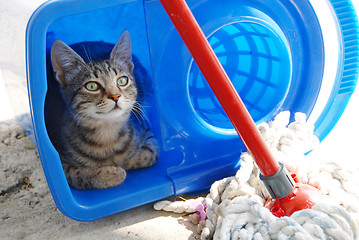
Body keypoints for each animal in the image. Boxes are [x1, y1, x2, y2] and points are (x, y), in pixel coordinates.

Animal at [50, 30, 159, 189]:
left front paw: (124, 163)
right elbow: (77, 174)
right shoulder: (61, 159)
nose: (115, 96)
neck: (107, 132)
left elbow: (149, 154)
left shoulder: (148, 134)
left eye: (122, 80)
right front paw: (112, 174)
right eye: (92, 86)